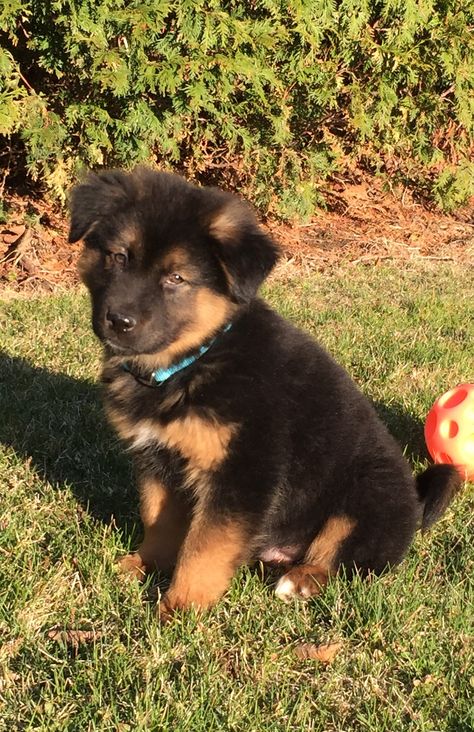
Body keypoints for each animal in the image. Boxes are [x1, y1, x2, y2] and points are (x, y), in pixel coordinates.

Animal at [68, 169, 462, 620]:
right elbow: (160, 521)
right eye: (118, 257)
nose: (118, 321)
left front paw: (181, 608)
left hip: (365, 497)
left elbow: (204, 547)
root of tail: (414, 502)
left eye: (176, 278)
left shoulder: (243, 471)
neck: (194, 360)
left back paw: (301, 582)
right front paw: (144, 565)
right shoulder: (156, 459)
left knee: (344, 560)